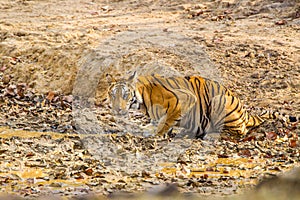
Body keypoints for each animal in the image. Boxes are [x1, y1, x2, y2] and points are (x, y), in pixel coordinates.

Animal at [106, 72, 298, 139]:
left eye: (125, 95)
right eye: (112, 95)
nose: (117, 110)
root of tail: (246, 112)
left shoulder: (182, 99)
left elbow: (166, 121)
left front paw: (157, 134)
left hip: (219, 101)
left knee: (239, 131)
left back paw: (209, 134)